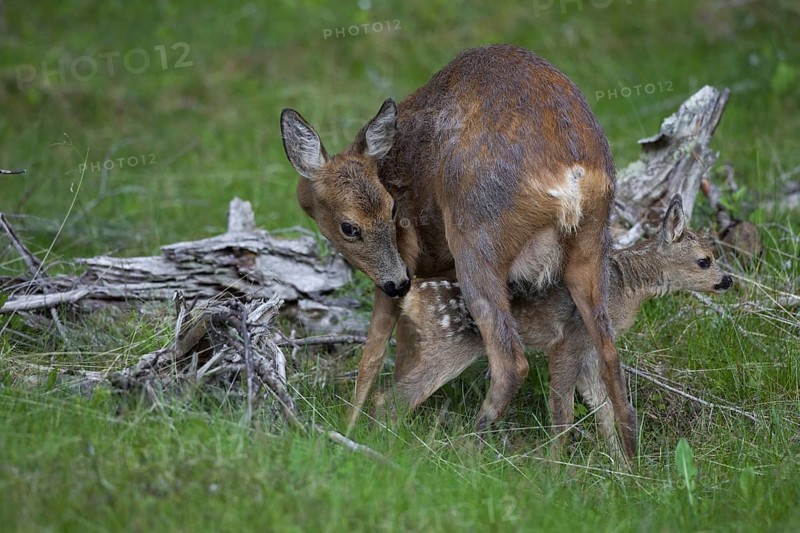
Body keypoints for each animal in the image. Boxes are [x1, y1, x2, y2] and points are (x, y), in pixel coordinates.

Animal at [280, 44, 636, 459]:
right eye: (352, 227)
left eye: (392, 210)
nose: (397, 282)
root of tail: (572, 175)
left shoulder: (406, 265)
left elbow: (374, 354)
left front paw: (349, 428)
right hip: (591, 247)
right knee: (610, 356)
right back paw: (628, 460)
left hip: (475, 238)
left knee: (511, 362)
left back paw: (468, 449)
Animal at [383, 195, 733, 458]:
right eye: (705, 260)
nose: (728, 280)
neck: (627, 285)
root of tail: (412, 293)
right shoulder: (571, 338)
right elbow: (563, 410)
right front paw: (557, 469)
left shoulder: (590, 348)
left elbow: (602, 406)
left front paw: (620, 466)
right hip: (449, 345)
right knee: (393, 398)